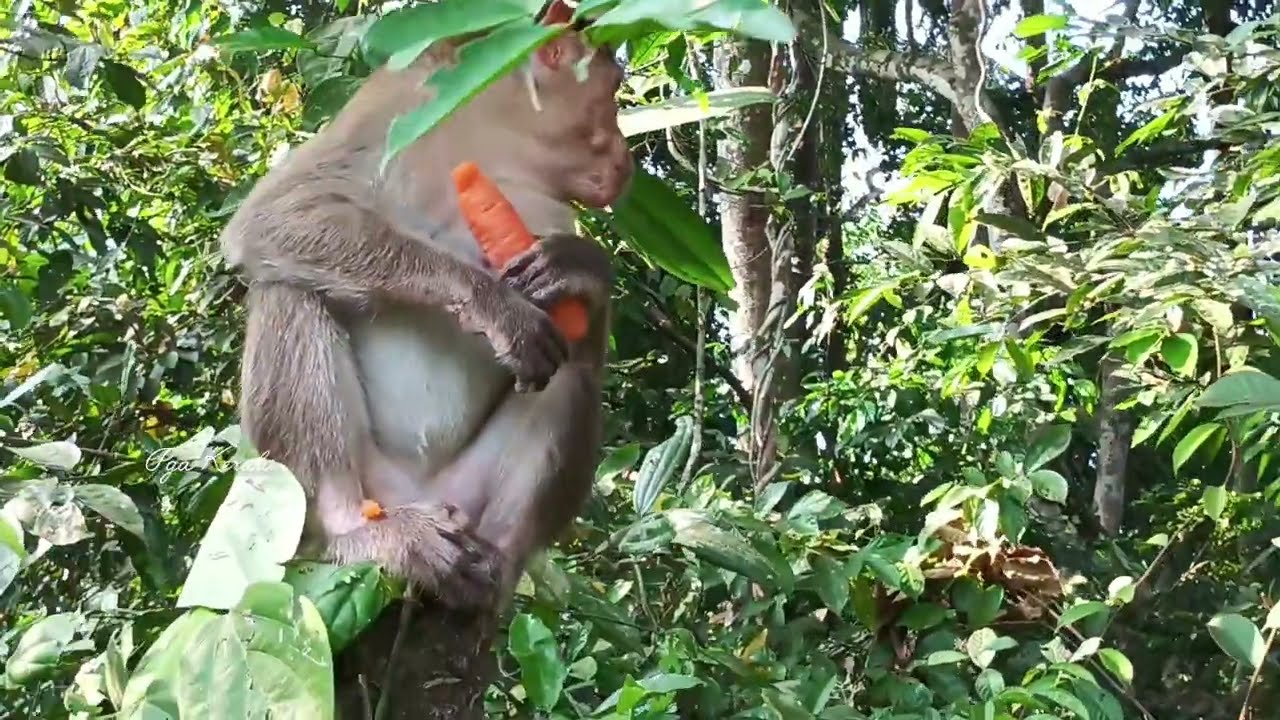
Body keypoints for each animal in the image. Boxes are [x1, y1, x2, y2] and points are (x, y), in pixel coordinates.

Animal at [218, 1, 633, 609]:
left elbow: (573, 315)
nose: (627, 157)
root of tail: (419, 495)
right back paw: (359, 529)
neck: (501, 134)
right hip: (362, 482)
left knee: (572, 360)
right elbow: (279, 212)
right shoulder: (397, 101)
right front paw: (494, 306)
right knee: (286, 292)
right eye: (613, 89)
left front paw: (581, 267)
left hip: (468, 495)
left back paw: (501, 557)